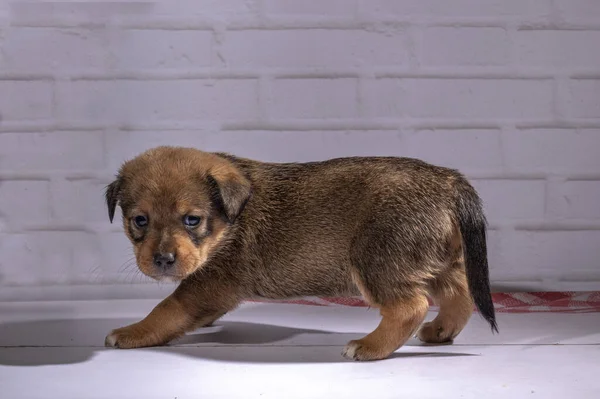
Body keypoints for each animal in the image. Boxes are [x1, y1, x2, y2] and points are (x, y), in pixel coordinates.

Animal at [103, 147, 496, 362]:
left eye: (192, 220)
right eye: (139, 220)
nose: (163, 260)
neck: (229, 221)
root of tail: (448, 181)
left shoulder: (208, 283)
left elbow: (167, 309)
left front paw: (133, 331)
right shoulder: (210, 289)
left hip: (377, 260)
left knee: (410, 306)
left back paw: (369, 346)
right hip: (435, 259)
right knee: (461, 294)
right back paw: (440, 331)